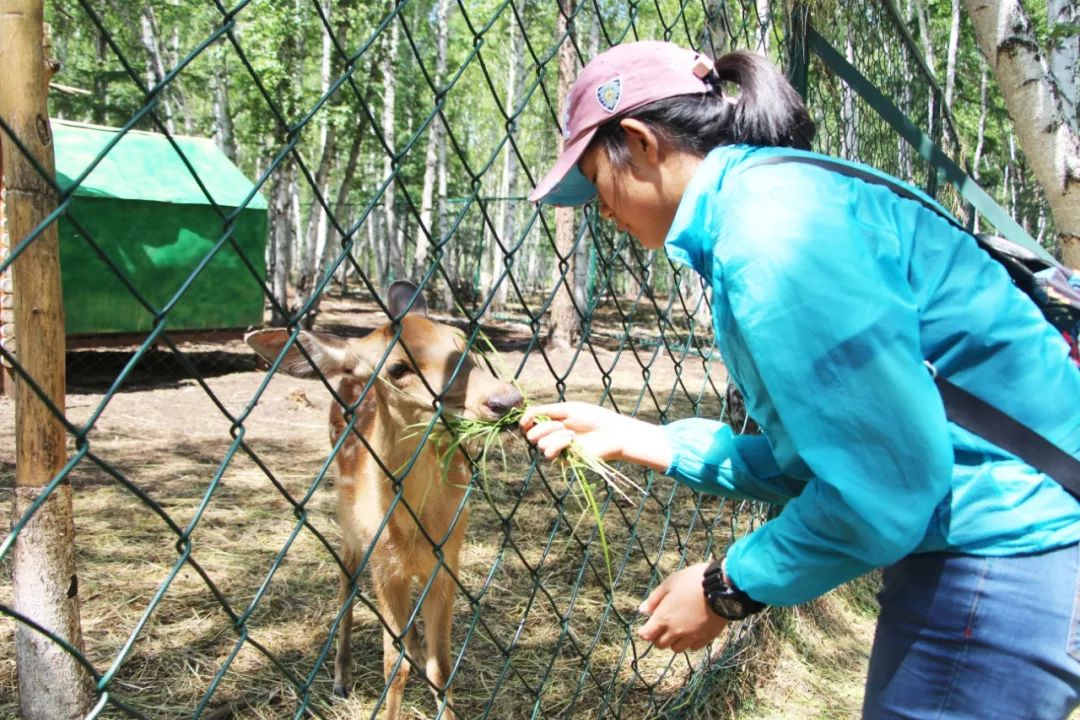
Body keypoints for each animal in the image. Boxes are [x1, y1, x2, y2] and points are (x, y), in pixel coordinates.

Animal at [248, 280, 527, 720]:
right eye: (398, 369)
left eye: (464, 343)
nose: (505, 400)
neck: (414, 524)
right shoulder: (383, 565)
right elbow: (392, 668)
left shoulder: (447, 559)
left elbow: (441, 666)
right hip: (350, 528)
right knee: (346, 585)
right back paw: (341, 678)